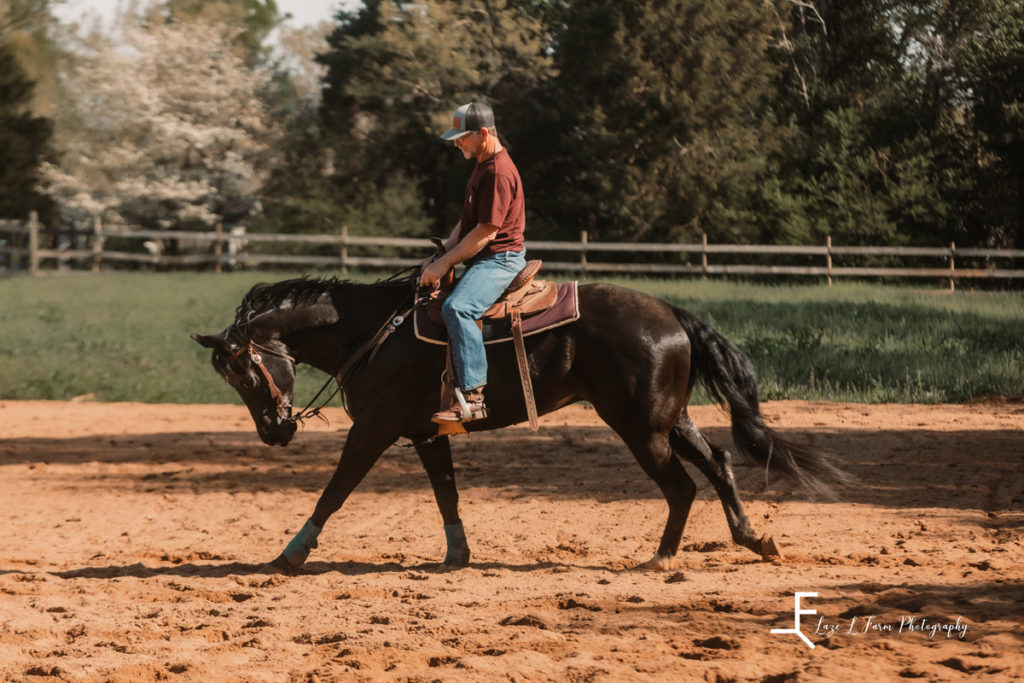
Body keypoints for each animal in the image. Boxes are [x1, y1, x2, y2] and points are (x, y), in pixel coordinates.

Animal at [190, 276, 839, 573]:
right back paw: (753, 538)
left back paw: (660, 559)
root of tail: (671, 313)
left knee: (681, 485)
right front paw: (457, 555)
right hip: (668, 419)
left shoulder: (373, 429)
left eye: (243, 374)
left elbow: (336, 490)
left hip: (640, 428)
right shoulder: (424, 433)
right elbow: (446, 494)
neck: (373, 334)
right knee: (720, 464)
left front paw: (290, 554)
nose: (274, 433)